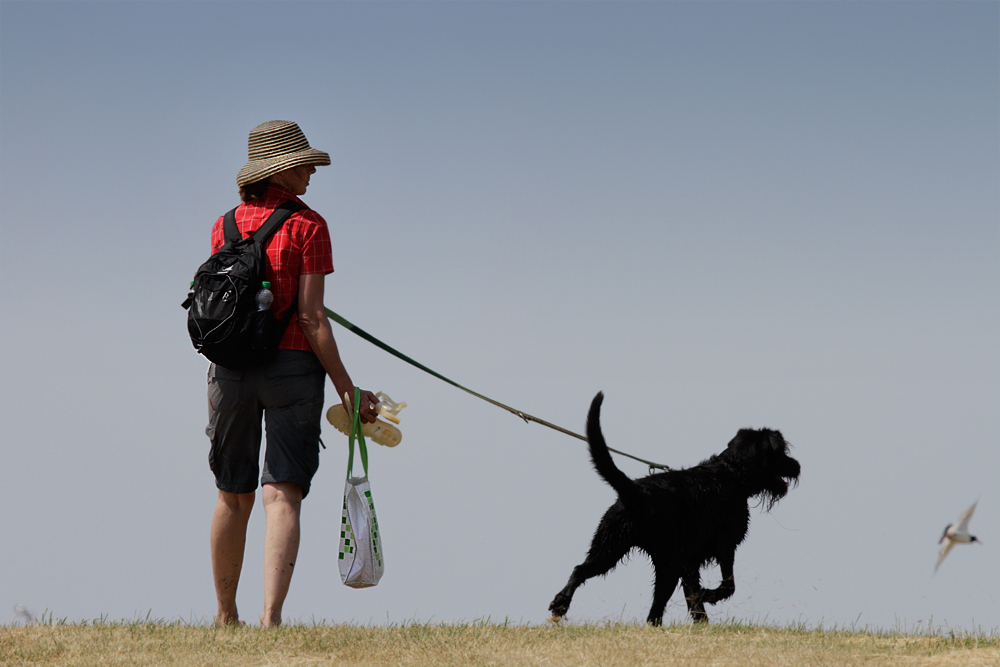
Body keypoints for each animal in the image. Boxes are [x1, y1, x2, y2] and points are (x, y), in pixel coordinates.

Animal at [548, 392, 796, 628]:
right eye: (782, 451)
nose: (798, 465)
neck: (732, 473)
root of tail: (636, 491)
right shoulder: (725, 545)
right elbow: (727, 584)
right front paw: (708, 597)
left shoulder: (690, 561)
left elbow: (693, 595)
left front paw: (701, 620)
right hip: (664, 561)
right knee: (654, 607)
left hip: (610, 546)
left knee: (583, 571)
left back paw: (560, 604)